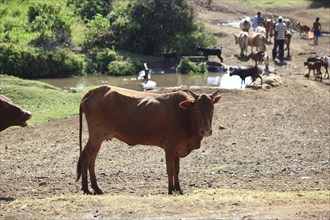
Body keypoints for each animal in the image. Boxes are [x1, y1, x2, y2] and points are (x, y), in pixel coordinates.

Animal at [76, 85, 223, 194]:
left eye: (212, 109)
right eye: (196, 109)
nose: (206, 131)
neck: (184, 114)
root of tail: (93, 91)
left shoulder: (177, 148)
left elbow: (177, 169)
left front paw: (178, 189)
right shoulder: (169, 147)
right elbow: (170, 169)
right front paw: (171, 190)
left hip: (99, 139)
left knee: (92, 160)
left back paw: (96, 188)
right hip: (96, 136)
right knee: (85, 156)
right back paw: (86, 189)